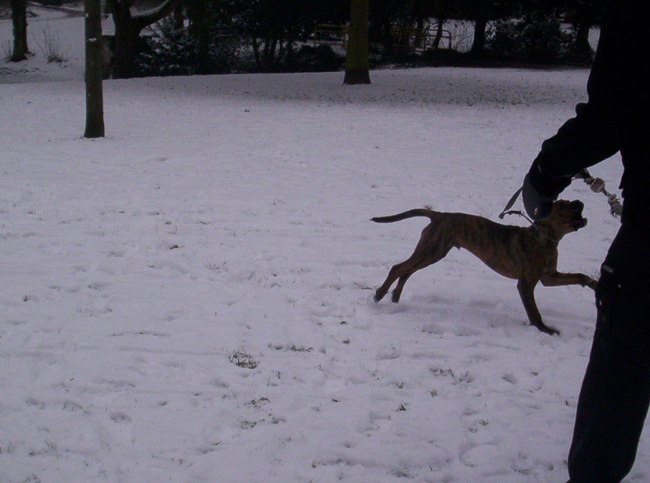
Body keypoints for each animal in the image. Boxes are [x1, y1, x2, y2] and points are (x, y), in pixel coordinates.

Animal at [372, 200, 597, 335]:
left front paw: (594, 283)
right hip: (431, 250)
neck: (545, 238)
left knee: (406, 271)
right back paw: (380, 294)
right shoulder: (526, 284)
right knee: (398, 268)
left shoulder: (549, 277)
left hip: (432, 252)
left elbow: (579, 276)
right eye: (563, 206)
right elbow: (534, 311)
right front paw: (544, 329)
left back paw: (395, 296)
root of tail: (439, 215)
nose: (579, 201)